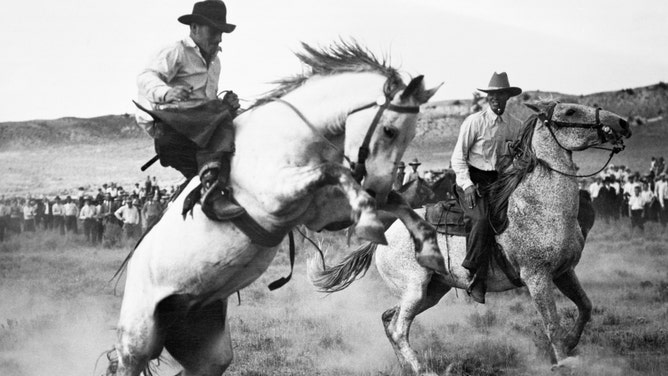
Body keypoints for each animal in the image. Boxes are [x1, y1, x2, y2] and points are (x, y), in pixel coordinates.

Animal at [109, 41, 444, 376]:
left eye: (412, 135)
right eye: (389, 131)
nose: (377, 187)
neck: (289, 135)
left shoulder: (323, 213)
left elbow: (396, 201)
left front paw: (429, 248)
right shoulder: (276, 195)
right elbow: (336, 171)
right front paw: (372, 222)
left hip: (205, 346)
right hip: (138, 339)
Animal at [310, 100, 632, 376]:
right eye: (570, 111)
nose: (622, 122)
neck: (541, 205)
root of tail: (384, 237)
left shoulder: (564, 272)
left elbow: (585, 307)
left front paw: (573, 346)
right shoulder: (537, 277)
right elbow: (552, 326)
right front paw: (563, 362)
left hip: (433, 290)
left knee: (390, 319)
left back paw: (405, 367)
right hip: (415, 288)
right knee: (400, 329)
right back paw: (422, 369)